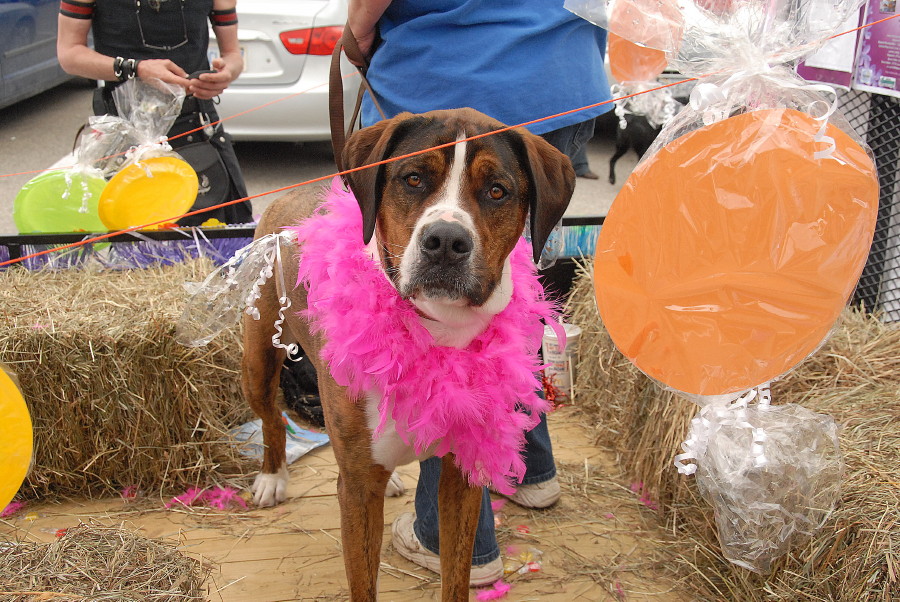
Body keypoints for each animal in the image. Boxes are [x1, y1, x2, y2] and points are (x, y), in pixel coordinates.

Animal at [243, 106, 572, 596]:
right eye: (413, 178)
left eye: (497, 190)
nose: (446, 241)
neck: (439, 328)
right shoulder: (357, 491)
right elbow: (363, 583)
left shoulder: (461, 476)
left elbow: (457, 576)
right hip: (258, 360)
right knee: (271, 417)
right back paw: (272, 476)